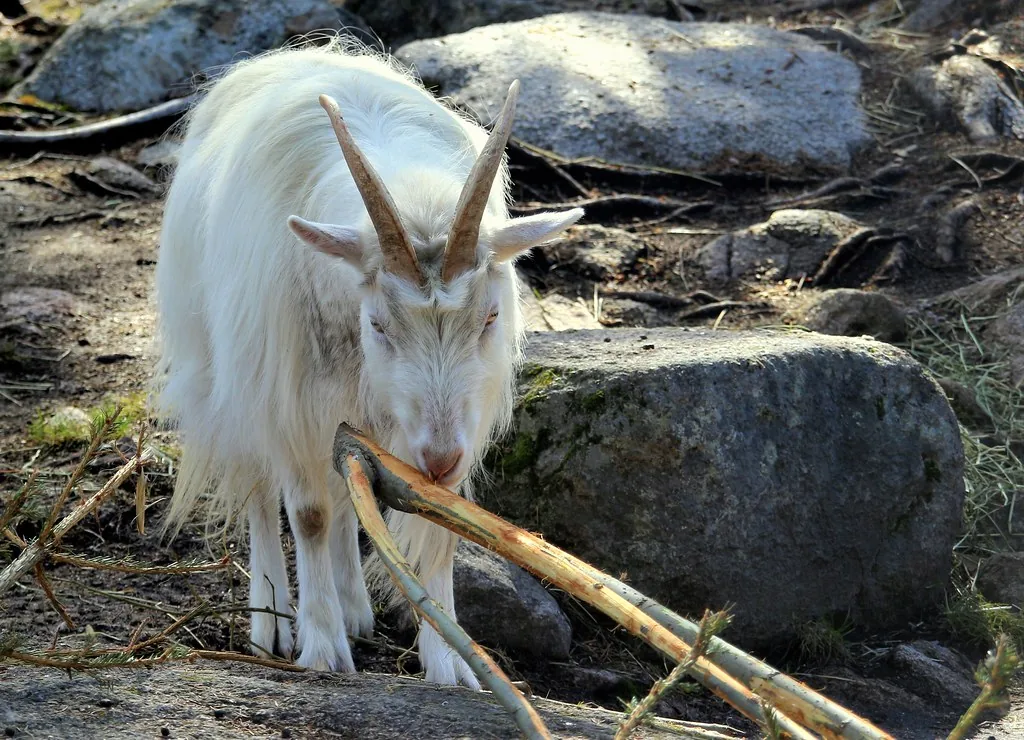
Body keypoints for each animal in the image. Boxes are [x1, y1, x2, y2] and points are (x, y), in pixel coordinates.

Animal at [153, 40, 582, 685]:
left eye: (488, 318)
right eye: (378, 324)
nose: (439, 458)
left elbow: (437, 524)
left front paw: (449, 665)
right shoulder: (289, 399)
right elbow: (306, 513)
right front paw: (322, 650)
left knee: (342, 490)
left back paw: (354, 608)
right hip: (226, 373)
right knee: (258, 487)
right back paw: (272, 622)